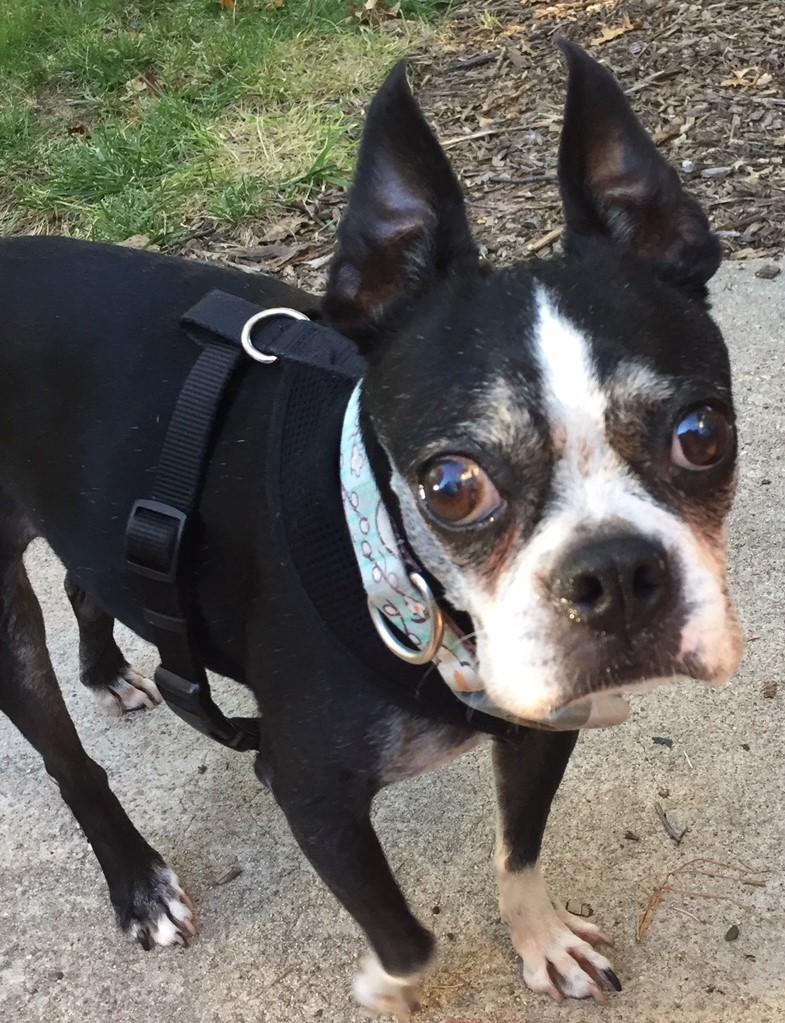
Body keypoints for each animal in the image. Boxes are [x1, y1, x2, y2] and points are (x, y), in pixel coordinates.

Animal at [0, 42, 742, 1016]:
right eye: (451, 486)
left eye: (702, 433)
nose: (615, 572)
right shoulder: (310, 791)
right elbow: (409, 936)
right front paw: (384, 987)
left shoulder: (543, 725)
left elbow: (520, 851)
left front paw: (540, 939)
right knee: (66, 756)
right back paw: (139, 881)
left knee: (85, 575)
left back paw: (106, 669)